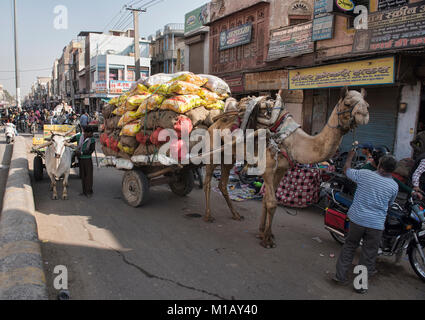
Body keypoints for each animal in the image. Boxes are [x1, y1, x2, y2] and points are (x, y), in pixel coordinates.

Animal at [202, 87, 368, 248]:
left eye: (366, 103)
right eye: (347, 103)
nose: (365, 114)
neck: (292, 141)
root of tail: (214, 123)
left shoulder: (281, 170)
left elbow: (266, 199)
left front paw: (263, 233)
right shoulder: (268, 169)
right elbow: (272, 202)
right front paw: (267, 240)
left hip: (229, 156)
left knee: (222, 184)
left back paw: (236, 214)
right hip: (213, 151)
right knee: (208, 181)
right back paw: (208, 215)